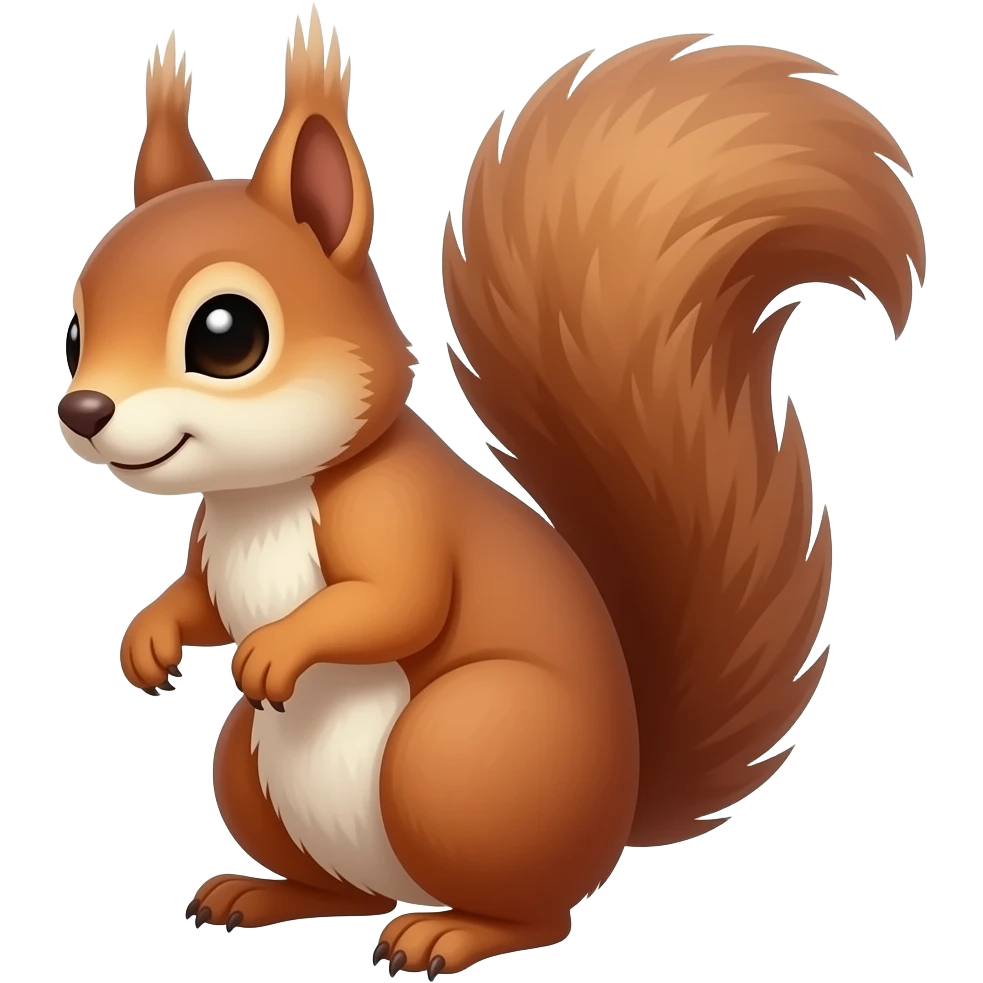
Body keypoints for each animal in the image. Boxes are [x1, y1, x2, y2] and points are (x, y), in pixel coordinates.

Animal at [58, 10, 925, 978]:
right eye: (74, 333)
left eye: (226, 334)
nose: (82, 411)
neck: (265, 494)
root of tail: (614, 815)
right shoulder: (213, 544)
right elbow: (203, 600)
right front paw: (148, 639)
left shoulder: (396, 512)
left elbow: (398, 601)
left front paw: (276, 648)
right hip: (248, 764)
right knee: (348, 892)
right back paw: (266, 893)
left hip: (461, 749)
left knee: (536, 913)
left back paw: (449, 932)